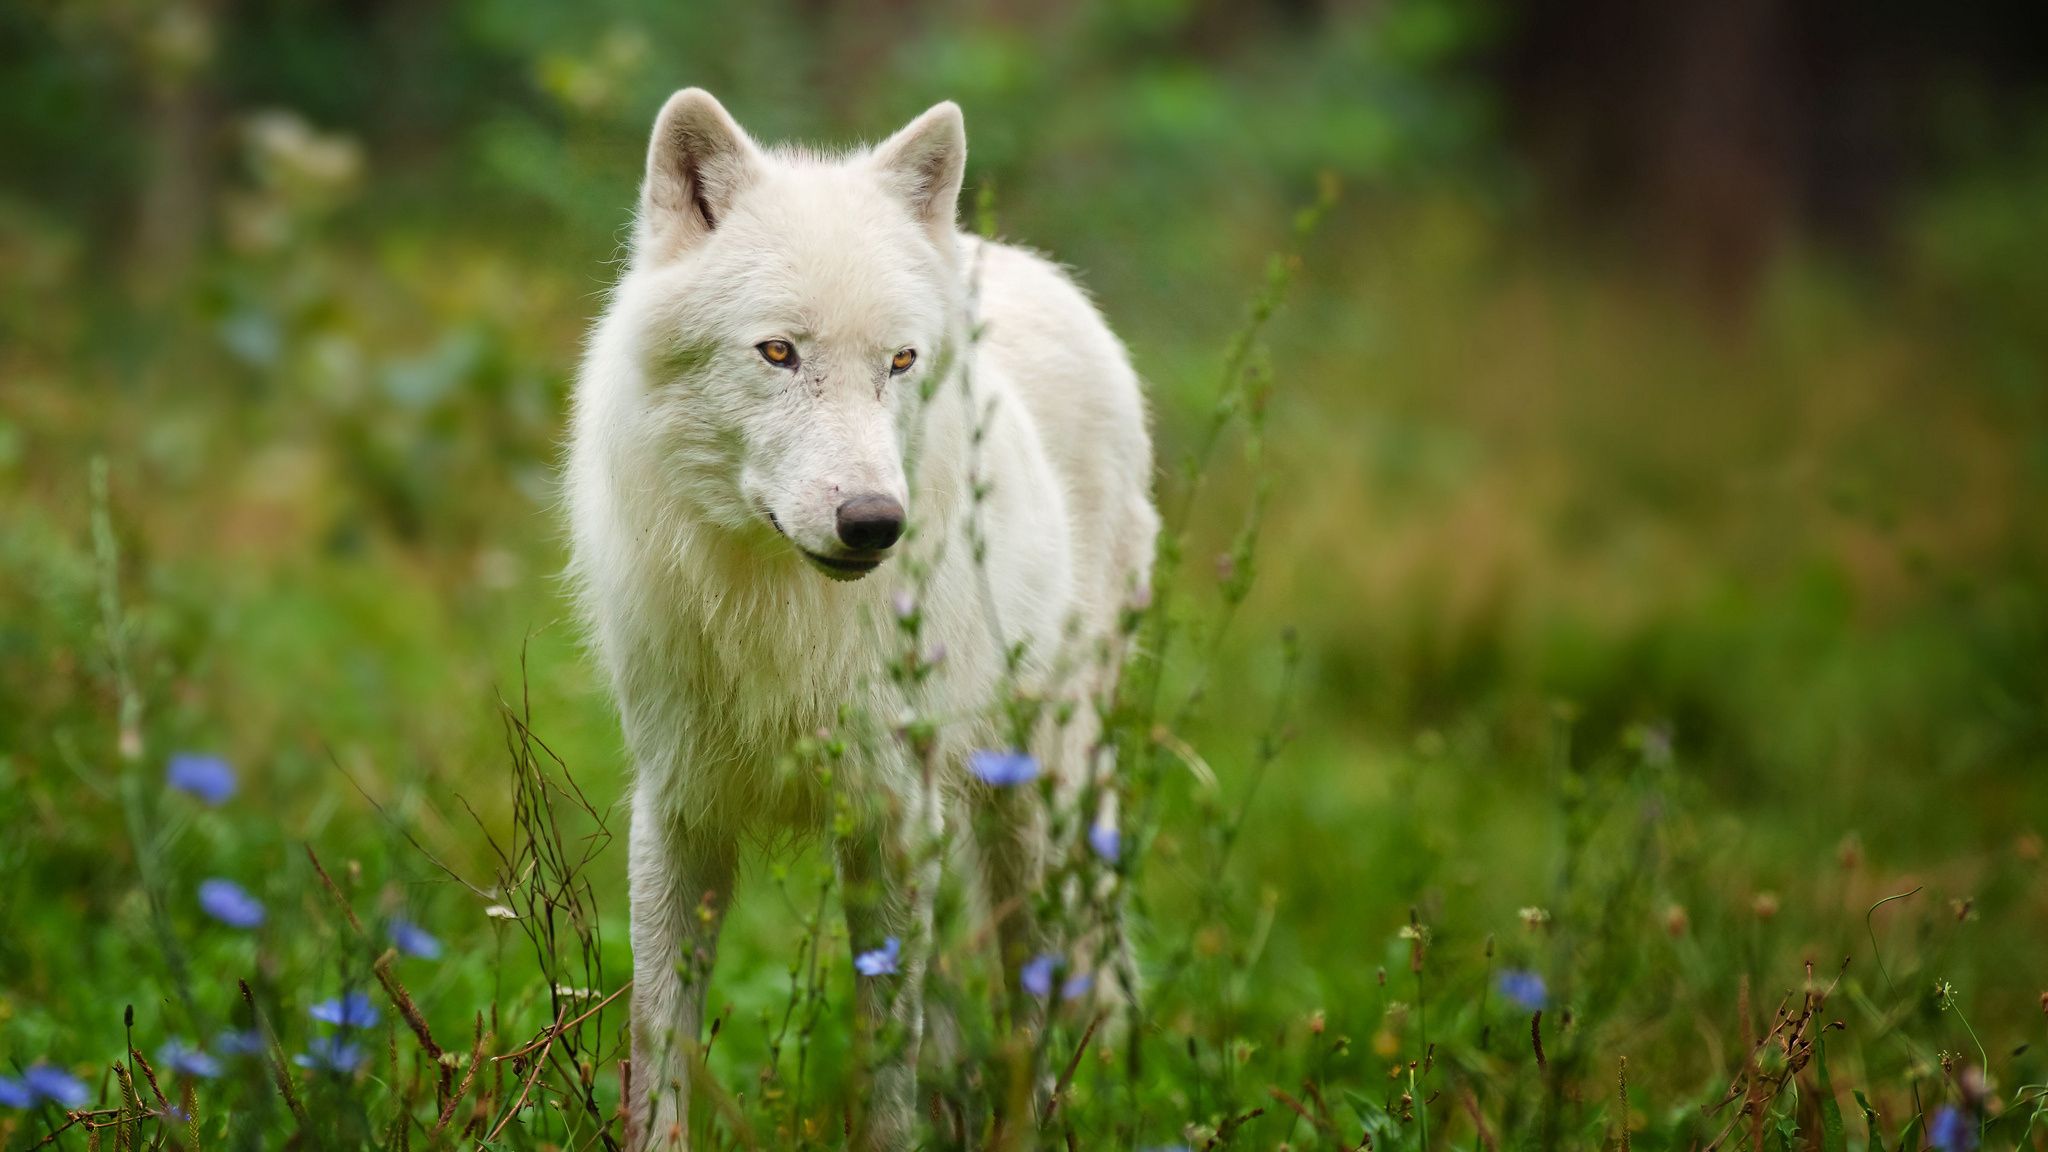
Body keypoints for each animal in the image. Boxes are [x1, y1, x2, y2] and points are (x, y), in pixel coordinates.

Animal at [569, 91, 1163, 1147]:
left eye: (899, 361)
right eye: (778, 352)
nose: (875, 523)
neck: (780, 612)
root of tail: (1012, 257)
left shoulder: (892, 814)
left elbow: (891, 1050)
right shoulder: (677, 807)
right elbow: (659, 1031)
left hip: (1037, 807)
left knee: (1037, 1001)